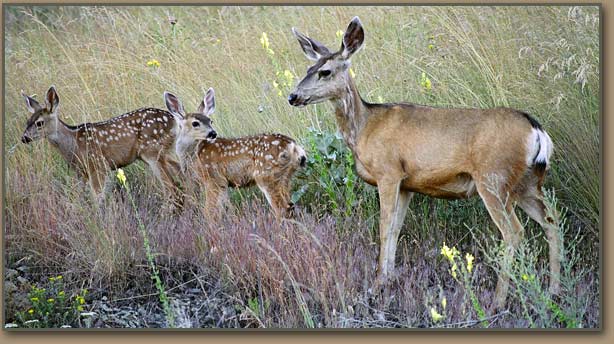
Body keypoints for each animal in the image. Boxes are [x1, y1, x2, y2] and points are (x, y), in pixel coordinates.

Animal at [22, 86, 185, 207]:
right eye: (27, 121)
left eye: (39, 123)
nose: (24, 138)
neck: (73, 143)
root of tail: (174, 121)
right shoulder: (81, 172)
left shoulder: (98, 165)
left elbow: (97, 198)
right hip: (162, 152)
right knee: (178, 173)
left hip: (152, 151)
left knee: (171, 187)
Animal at [165, 88, 306, 218]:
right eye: (195, 123)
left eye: (210, 121)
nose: (212, 133)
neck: (194, 155)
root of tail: (293, 146)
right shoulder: (223, 184)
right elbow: (222, 209)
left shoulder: (213, 178)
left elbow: (209, 212)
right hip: (285, 177)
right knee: (290, 206)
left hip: (266, 175)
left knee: (281, 209)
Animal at [288, 16, 560, 310]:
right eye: (308, 68)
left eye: (325, 72)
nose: (292, 96)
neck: (364, 129)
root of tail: (536, 129)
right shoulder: (407, 184)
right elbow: (396, 229)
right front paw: (388, 279)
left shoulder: (388, 173)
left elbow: (384, 227)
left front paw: (376, 285)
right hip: (526, 183)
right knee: (551, 220)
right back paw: (554, 291)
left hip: (493, 179)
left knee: (514, 231)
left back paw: (498, 301)